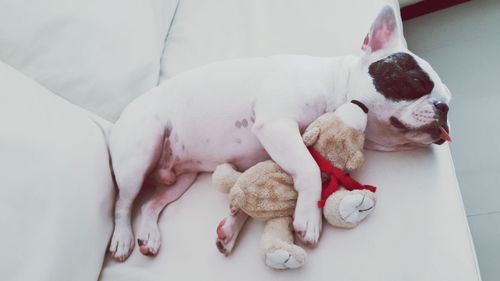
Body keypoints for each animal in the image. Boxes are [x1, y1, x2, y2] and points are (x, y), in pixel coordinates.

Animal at [109, 6, 454, 260]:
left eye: (449, 100)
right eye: (414, 82)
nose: (444, 108)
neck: (335, 84)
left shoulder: (268, 151)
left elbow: (248, 195)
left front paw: (231, 227)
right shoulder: (276, 124)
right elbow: (310, 168)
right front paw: (309, 218)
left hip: (182, 179)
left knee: (151, 204)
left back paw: (149, 235)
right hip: (140, 153)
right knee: (124, 204)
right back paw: (123, 238)